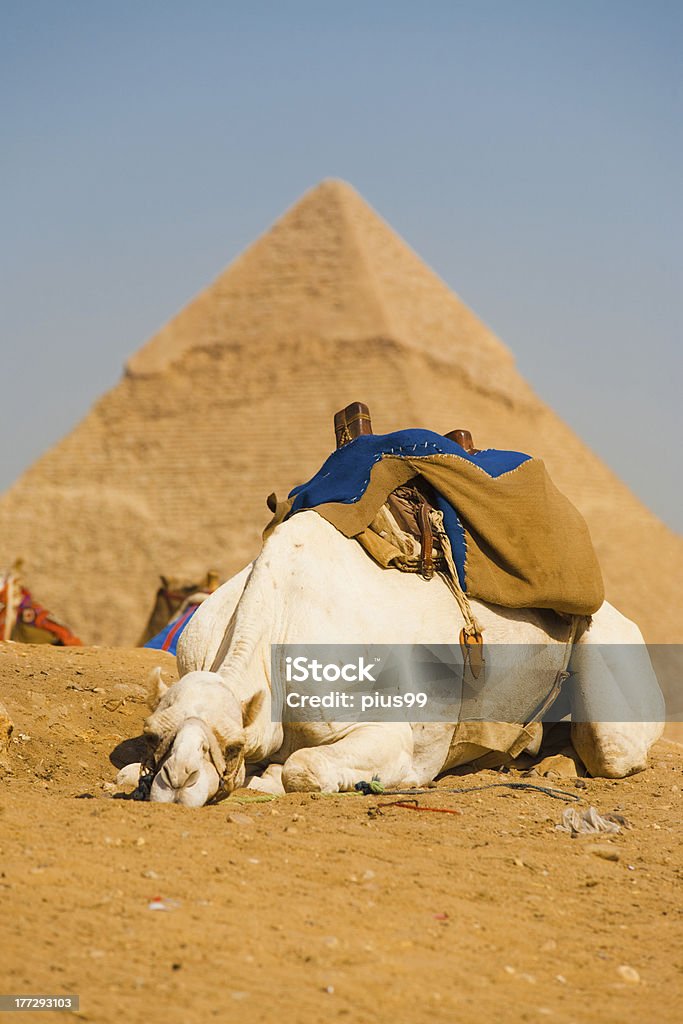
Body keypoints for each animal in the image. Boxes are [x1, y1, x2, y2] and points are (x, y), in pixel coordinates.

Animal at [136, 512, 663, 806]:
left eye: (232, 747)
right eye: (152, 735)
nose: (177, 781)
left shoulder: (390, 732)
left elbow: (303, 767)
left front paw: (269, 781)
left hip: (611, 656)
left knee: (612, 752)